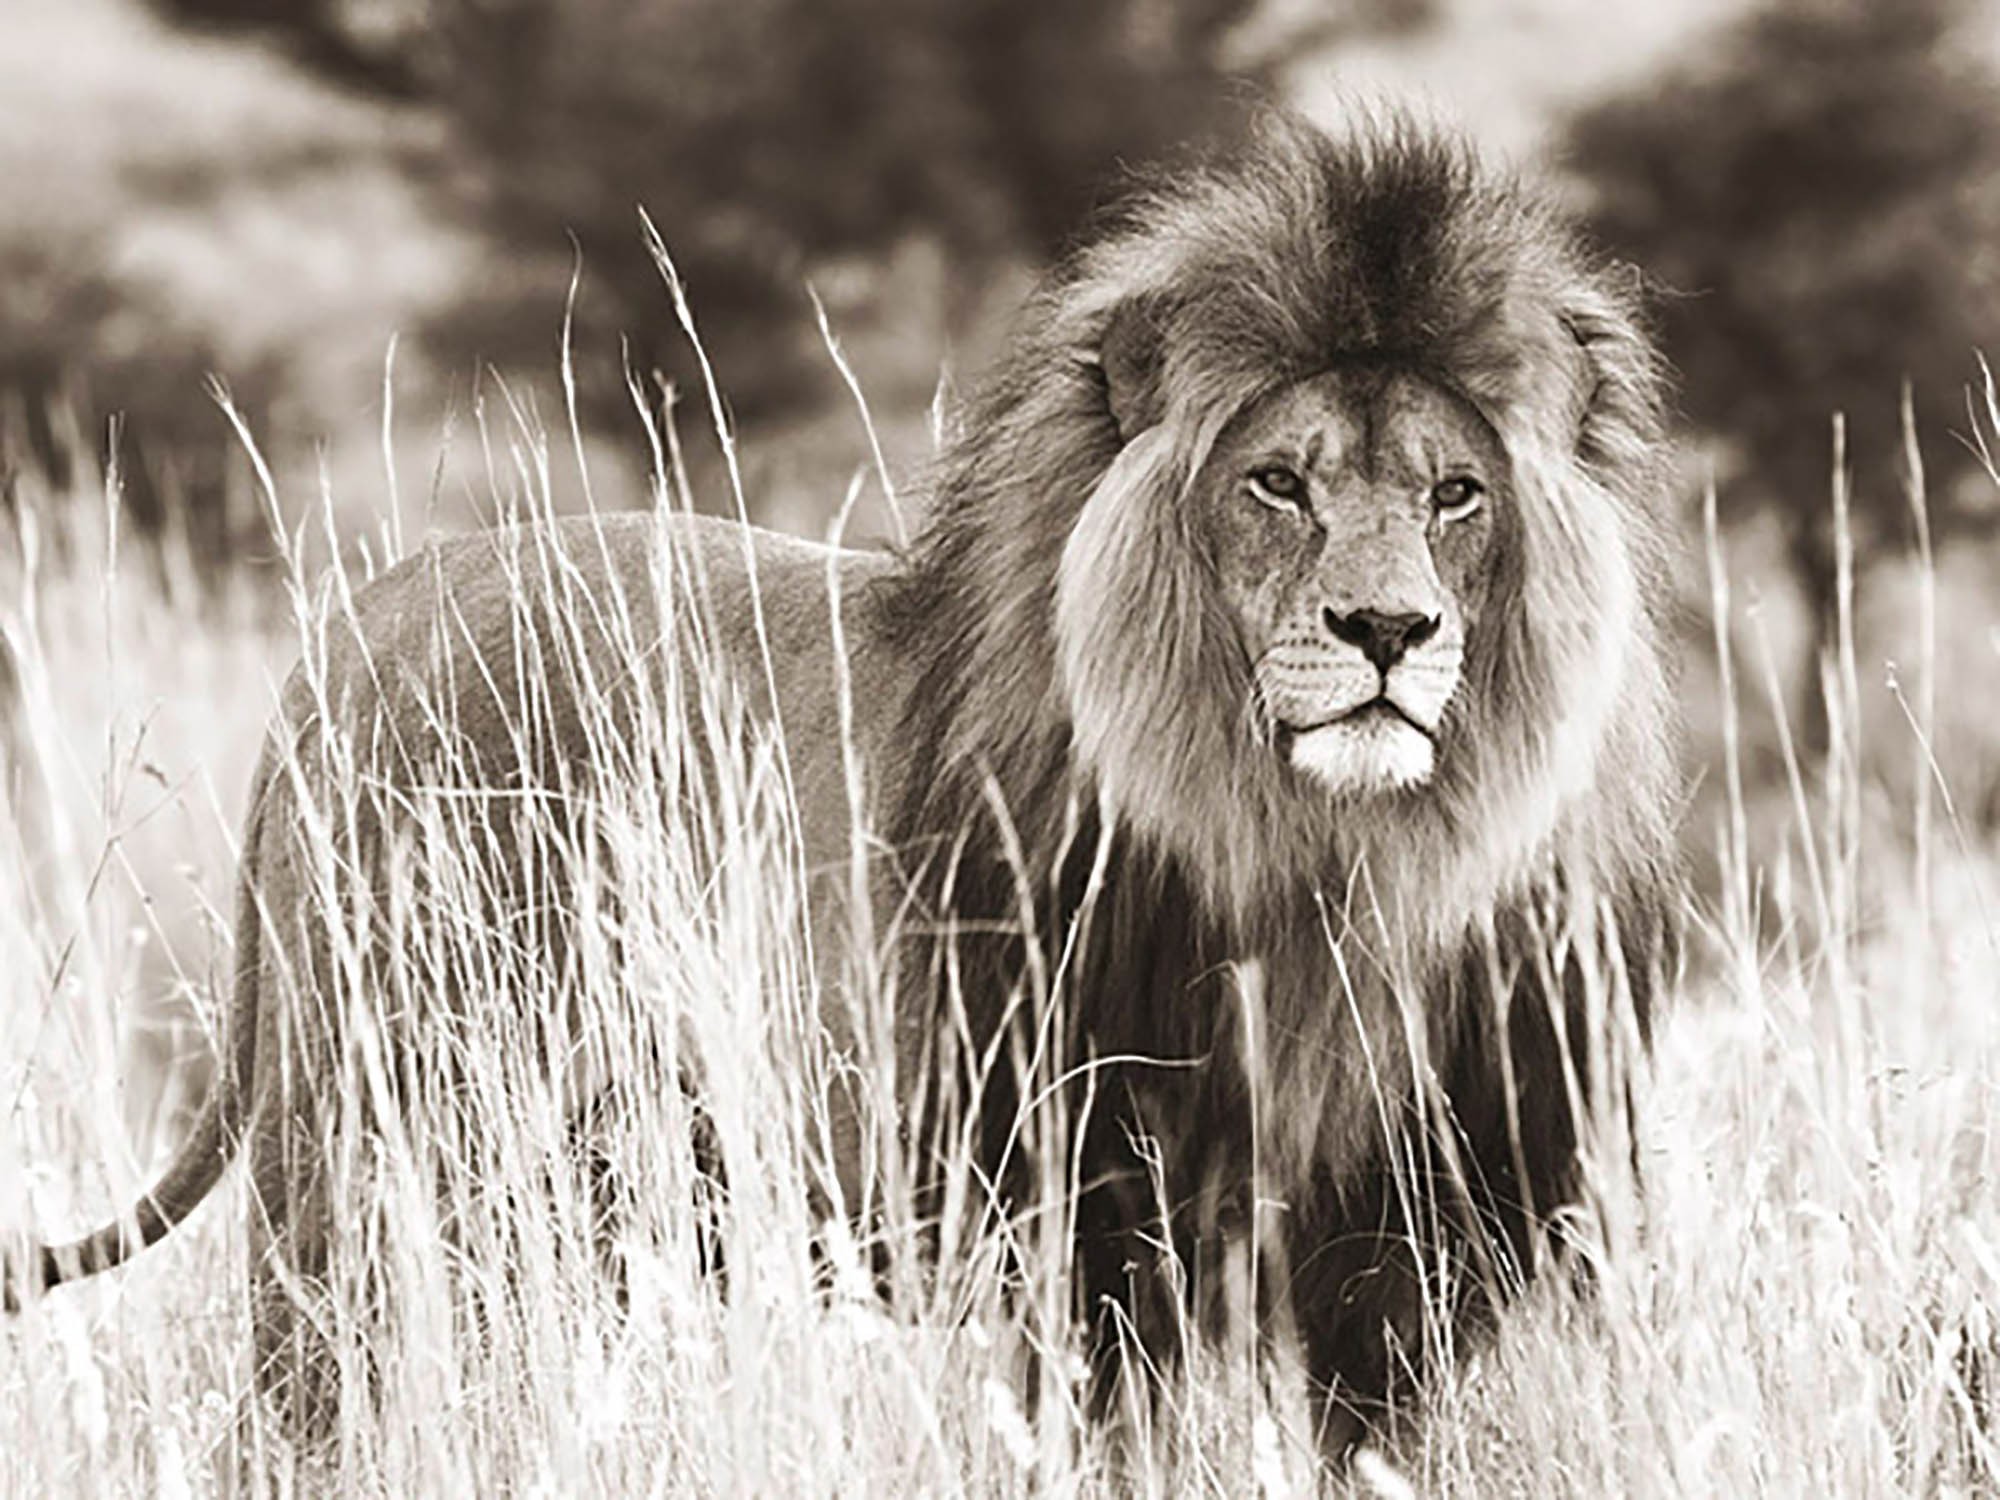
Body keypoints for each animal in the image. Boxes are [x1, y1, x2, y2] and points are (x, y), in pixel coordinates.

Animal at [7, 109, 1680, 1452]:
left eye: (1456, 494)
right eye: (1278, 483)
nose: (1391, 631)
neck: (1332, 866)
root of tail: (348, 633)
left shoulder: (1397, 1268)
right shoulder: (1087, 1238)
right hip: (365, 1153)